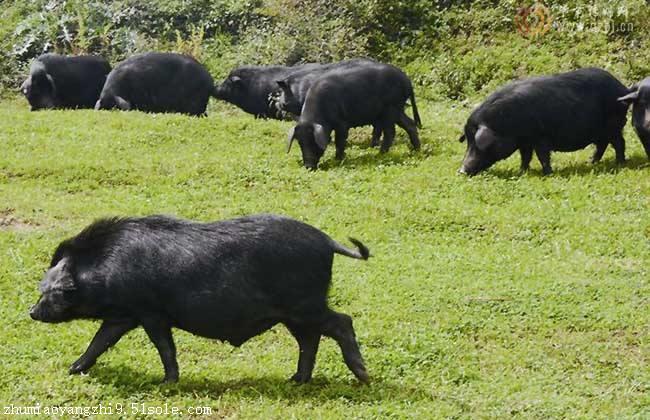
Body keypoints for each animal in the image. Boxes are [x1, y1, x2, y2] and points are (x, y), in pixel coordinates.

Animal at [30, 213, 370, 384]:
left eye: (51, 291)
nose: (32, 312)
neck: (106, 266)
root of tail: (327, 240)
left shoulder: (151, 312)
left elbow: (164, 346)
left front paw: (167, 383)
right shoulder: (123, 315)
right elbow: (100, 341)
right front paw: (73, 370)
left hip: (305, 305)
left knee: (342, 322)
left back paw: (363, 378)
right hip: (293, 314)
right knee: (309, 340)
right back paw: (295, 380)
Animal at [284, 62, 420, 169]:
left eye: (313, 141)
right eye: (300, 143)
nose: (308, 166)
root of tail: (407, 80)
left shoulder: (342, 123)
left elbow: (340, 141)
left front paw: (338, 159)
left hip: (390, 109)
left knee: (390, 132)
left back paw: (380, 154)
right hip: (397, 109)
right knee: (410, 124)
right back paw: (415, 149)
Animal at [456, 67, 628, 176]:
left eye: (477, 143)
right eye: (468, 141)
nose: (461, 171)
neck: (505, 124)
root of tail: (622, 88)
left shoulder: (540, 137)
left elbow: (542, 156)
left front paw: (548, 174)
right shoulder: (524, 142)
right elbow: (525, 157)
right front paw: (522, 171)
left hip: (614, 124)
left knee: (619, 142)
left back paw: (619, 164)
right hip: (601, 131)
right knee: (602, 145)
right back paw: (590, 162)